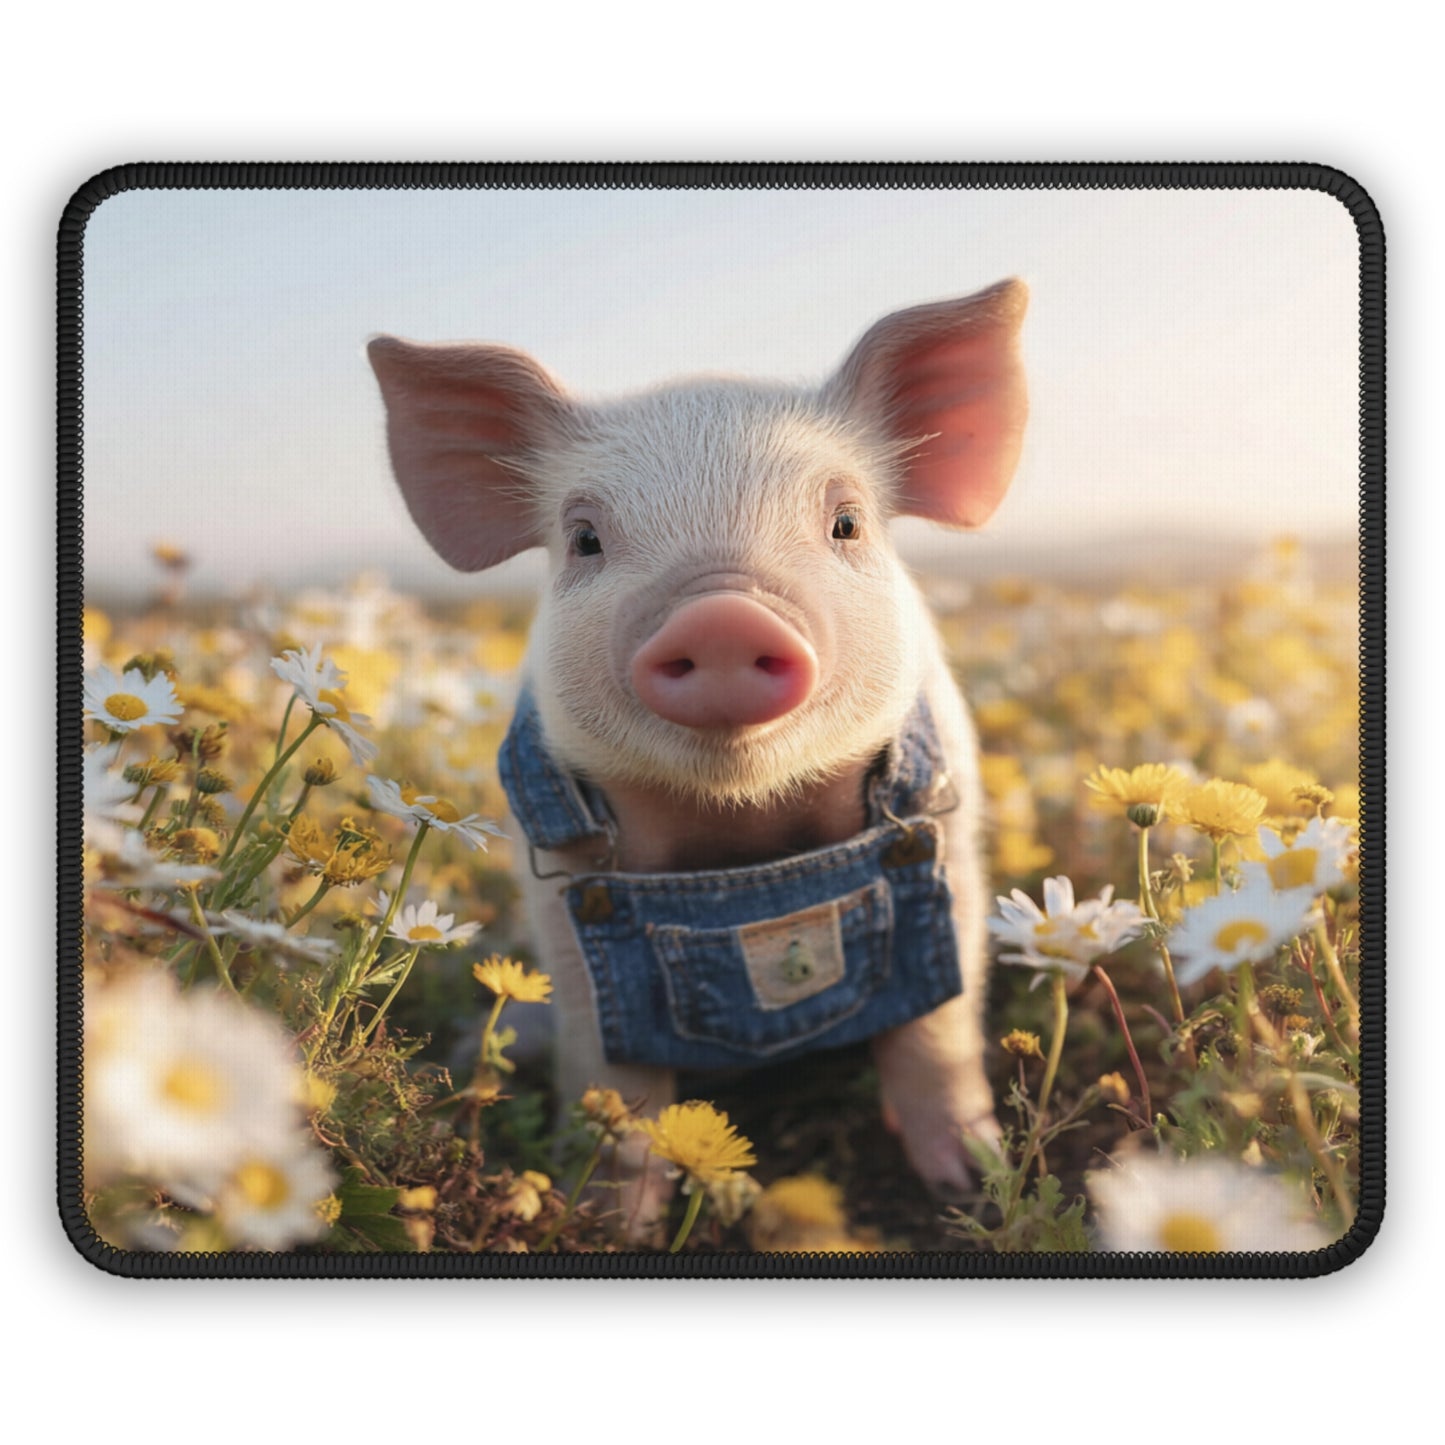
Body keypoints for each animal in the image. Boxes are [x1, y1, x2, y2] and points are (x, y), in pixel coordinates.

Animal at [367, 278, 1028, 1224]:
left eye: (846, 521)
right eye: (585, 538)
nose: (721, 616)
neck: (741, 828)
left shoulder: (943, 827)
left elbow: (935, 1026)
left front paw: (972, 1187)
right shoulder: (567, 882)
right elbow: (612, 1067)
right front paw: (609, 1220)